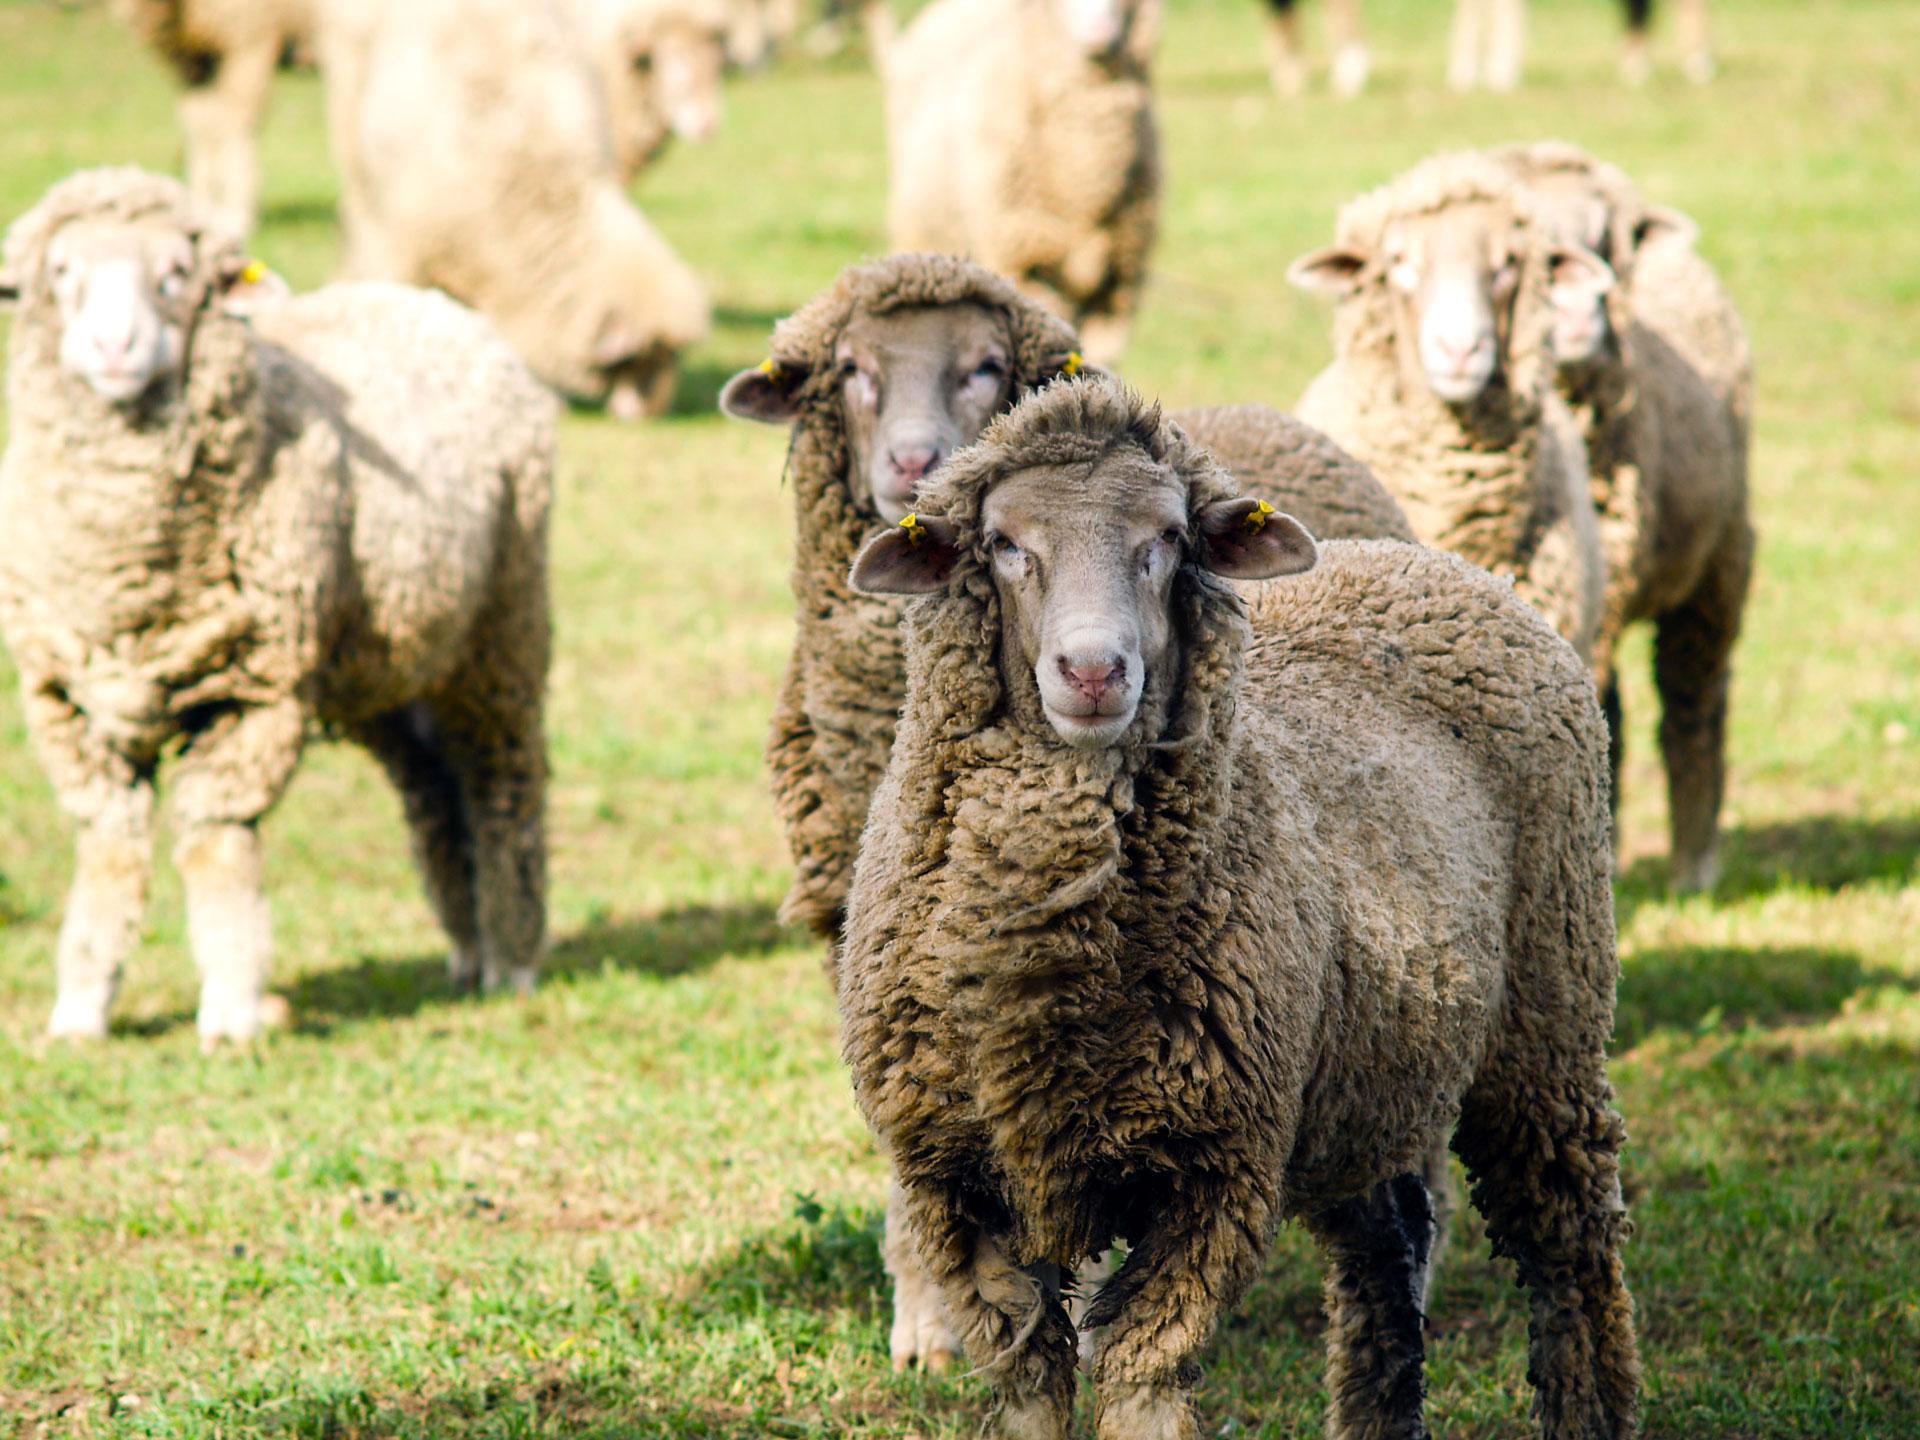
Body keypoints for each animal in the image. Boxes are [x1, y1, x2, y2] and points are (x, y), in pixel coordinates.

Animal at [0, 168, 554, 1047]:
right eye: (62, 273)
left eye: (177, 276)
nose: (113, 349)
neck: (127, 563)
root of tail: (423, 298)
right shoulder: (68, 704)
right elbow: (109, 854)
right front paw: (80, 1009)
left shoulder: (251, 693)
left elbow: (217, 849)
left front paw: (230, 1010)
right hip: (388, 664)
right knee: (434, 792)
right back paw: (466, 950)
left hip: (501, 626)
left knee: (503, 782)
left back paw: (511, 956)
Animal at [110, 0, 317, 239]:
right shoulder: (198, 62)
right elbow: (202, 128)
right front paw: (202, 211)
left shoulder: (250, 40)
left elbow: (236, 126)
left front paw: (237, 218)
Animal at [840, 375, 1638, 1440]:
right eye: (1004, 542)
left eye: (1169, 538)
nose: (1094, 672)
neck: (1046, 977)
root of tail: (1442, 566)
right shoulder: (957, 1185)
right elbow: (1030, 1383)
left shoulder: (1214, 1169)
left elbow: (1143, 1377)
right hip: (1363, 1071)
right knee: (1387, 1249)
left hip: (1548, 1020)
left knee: (1570, 1249)